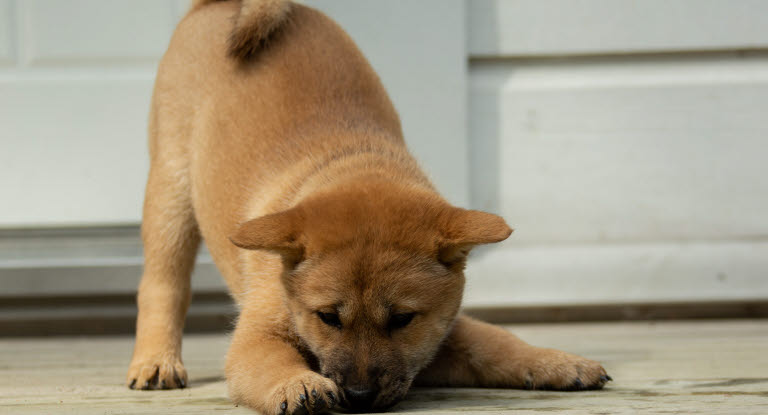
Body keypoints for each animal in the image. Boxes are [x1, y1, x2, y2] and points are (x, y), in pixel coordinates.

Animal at [129, 1, 612, 414]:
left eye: (402, 319)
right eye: (327, 317)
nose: (358, 396)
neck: (353, 160)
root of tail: (217, 6)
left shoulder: (440, 333)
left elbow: (494, 342)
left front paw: (557, 362)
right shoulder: (255, 339)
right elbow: (271, 362)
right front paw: (297, 384)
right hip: (170, 196)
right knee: (162, 286)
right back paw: (156, 360)